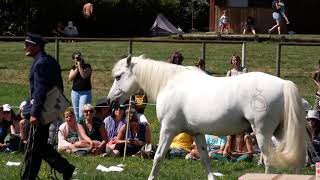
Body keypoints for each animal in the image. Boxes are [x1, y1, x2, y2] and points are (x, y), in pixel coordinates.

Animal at [108, 55, 310, 180]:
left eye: (118, 77)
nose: (110, 101)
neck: (170, 83)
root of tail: (284, 84)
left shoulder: (168, 130)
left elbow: (158, 156)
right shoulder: (197, 133)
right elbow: (205, 159)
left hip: (262, 133)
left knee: (269, 161)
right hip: (282, 133)